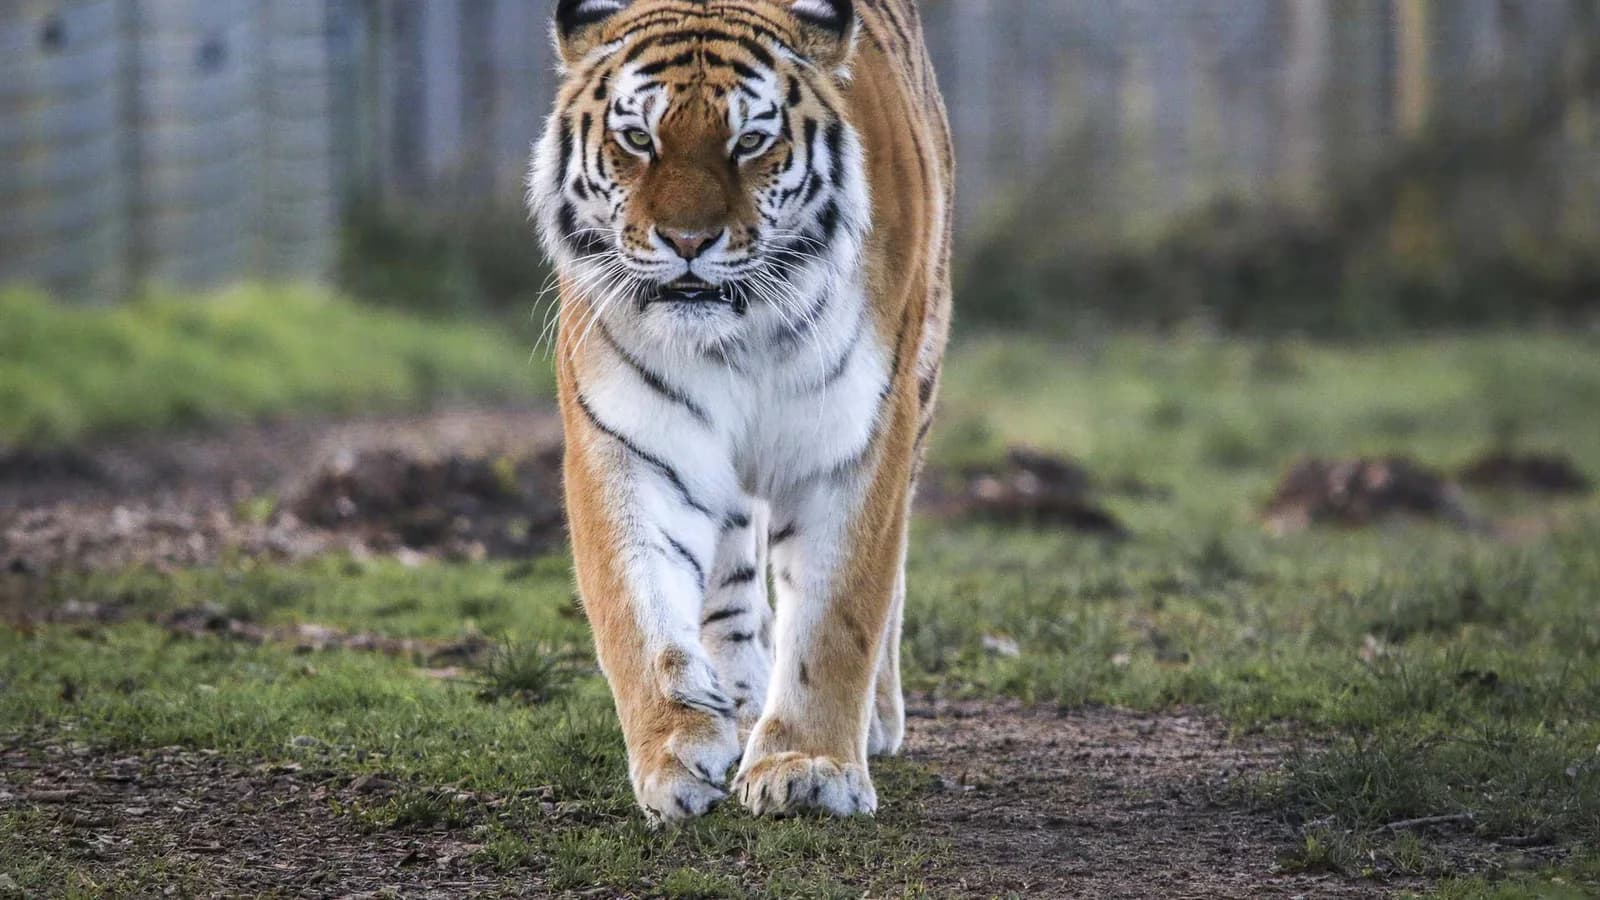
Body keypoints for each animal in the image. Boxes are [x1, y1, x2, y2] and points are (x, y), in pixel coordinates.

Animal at [528, 0, 952, 823]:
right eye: (639, 139)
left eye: (750, 142)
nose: (688, 241)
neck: (740, 333)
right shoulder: (629, 442)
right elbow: (638, 610)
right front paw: (673, 753)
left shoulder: (855, 441)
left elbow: (838, 614)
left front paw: (810, 767)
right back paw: (739, 700)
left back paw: (873, 721)